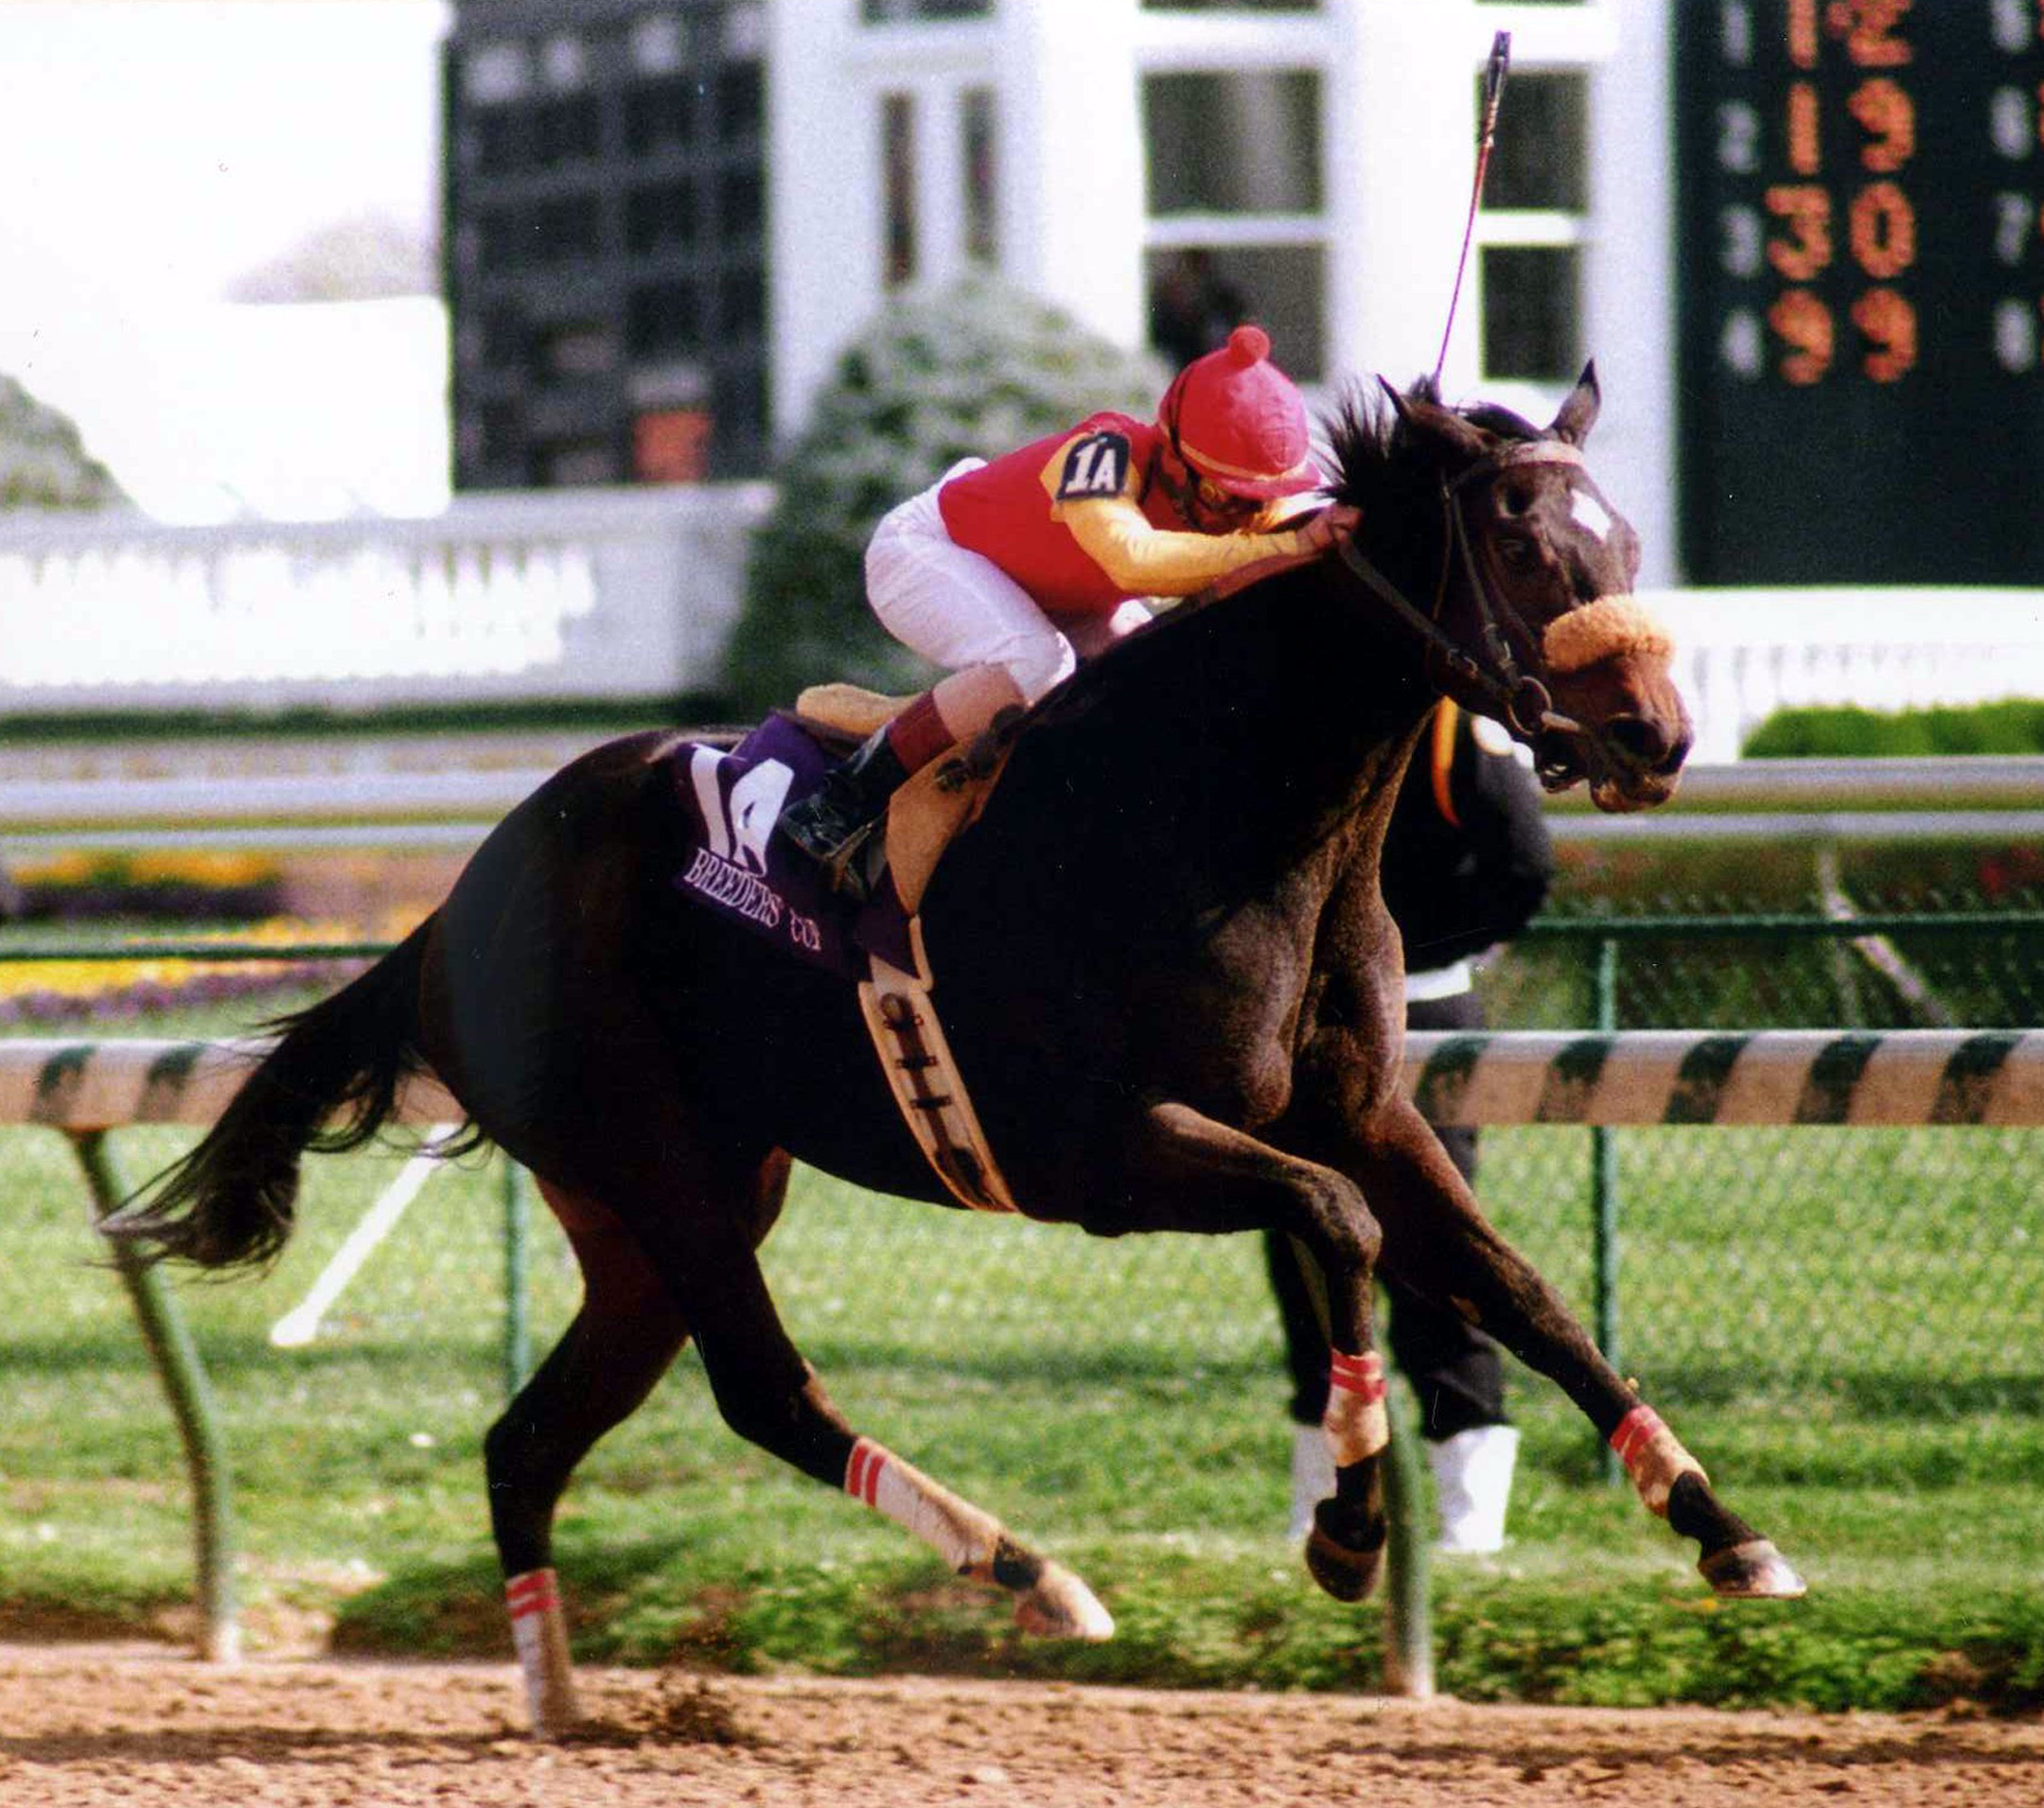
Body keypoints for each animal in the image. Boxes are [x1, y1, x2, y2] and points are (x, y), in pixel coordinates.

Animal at [115, 367, 1806, 1732]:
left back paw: (552, 1690)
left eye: (1626, 543)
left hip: (659, 1202)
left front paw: (1720, 1521)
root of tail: (454, 899)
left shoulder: (1369, 1110)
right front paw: (1343, 1530)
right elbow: (1340, 1226)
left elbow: (1518, 1287)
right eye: (1525, 546)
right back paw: (1031, 1571)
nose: (1657, 732)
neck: (1232, 806)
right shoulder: (1106, 1153)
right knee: (764, 1392)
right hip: (661, 1168)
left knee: (527, 1439)